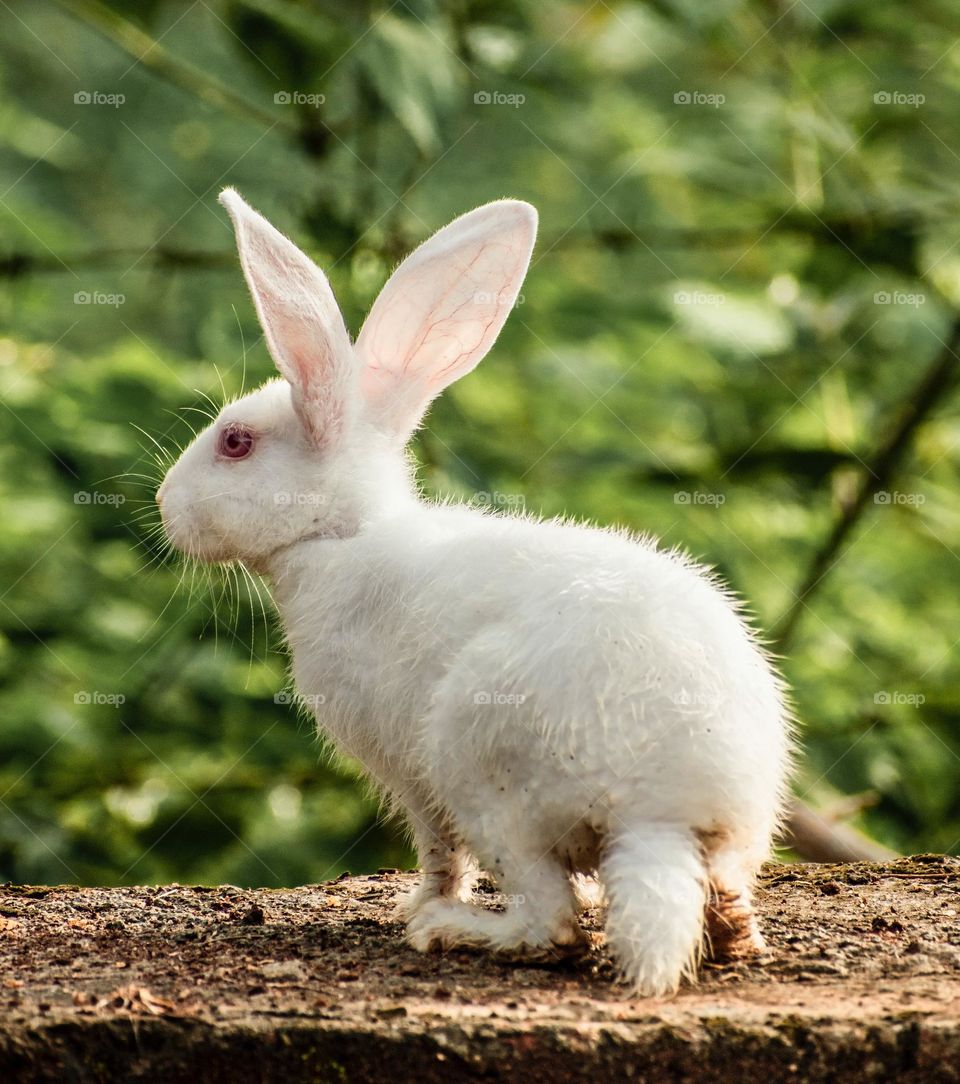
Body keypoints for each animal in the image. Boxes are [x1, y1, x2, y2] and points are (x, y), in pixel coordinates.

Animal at [156, 188, 793, 997]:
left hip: (481, 768)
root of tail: (662, 817)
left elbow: (437, 850)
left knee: (550, 923)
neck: (339, 536)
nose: (165, 506)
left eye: (235, 443)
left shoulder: (409, 776)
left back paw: (450, 930)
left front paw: (417, 905)